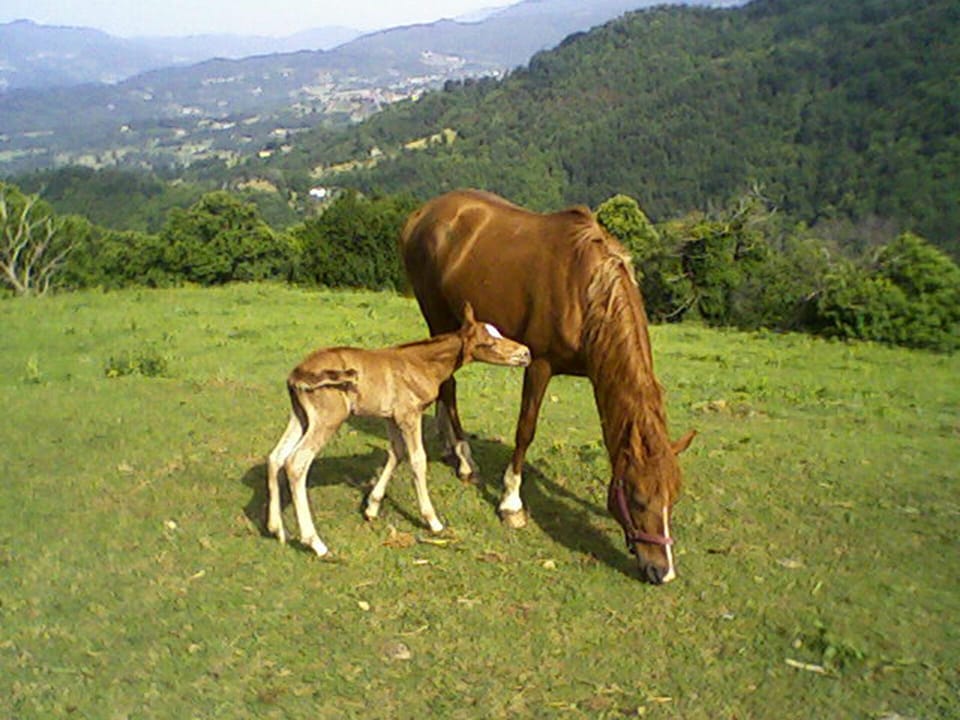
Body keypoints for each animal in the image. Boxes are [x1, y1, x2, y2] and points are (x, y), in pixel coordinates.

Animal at [265, 302, 531, 557]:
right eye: (489, 343)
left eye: (499, 332)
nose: (525, 353)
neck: (422, 363)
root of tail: (298, 373)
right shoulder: (409, 414)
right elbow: (417, 460)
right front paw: (433, 521)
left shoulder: (391, 417)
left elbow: (396, 452)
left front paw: (372, 508)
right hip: (328, 417)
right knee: (296, 462)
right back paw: (316, 543)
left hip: (301, 416)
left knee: (276, 457)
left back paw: (277, 529)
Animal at [400, 190, 695, 584]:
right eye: (637, 499)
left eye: (672, 498)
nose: (662, 572)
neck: (587, 290)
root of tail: (424, 213)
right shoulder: (539, 365)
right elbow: (526, 430)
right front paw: (511, 503)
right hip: (437, 315)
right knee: (449, 385)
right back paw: (464, 460)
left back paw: (450, 446)